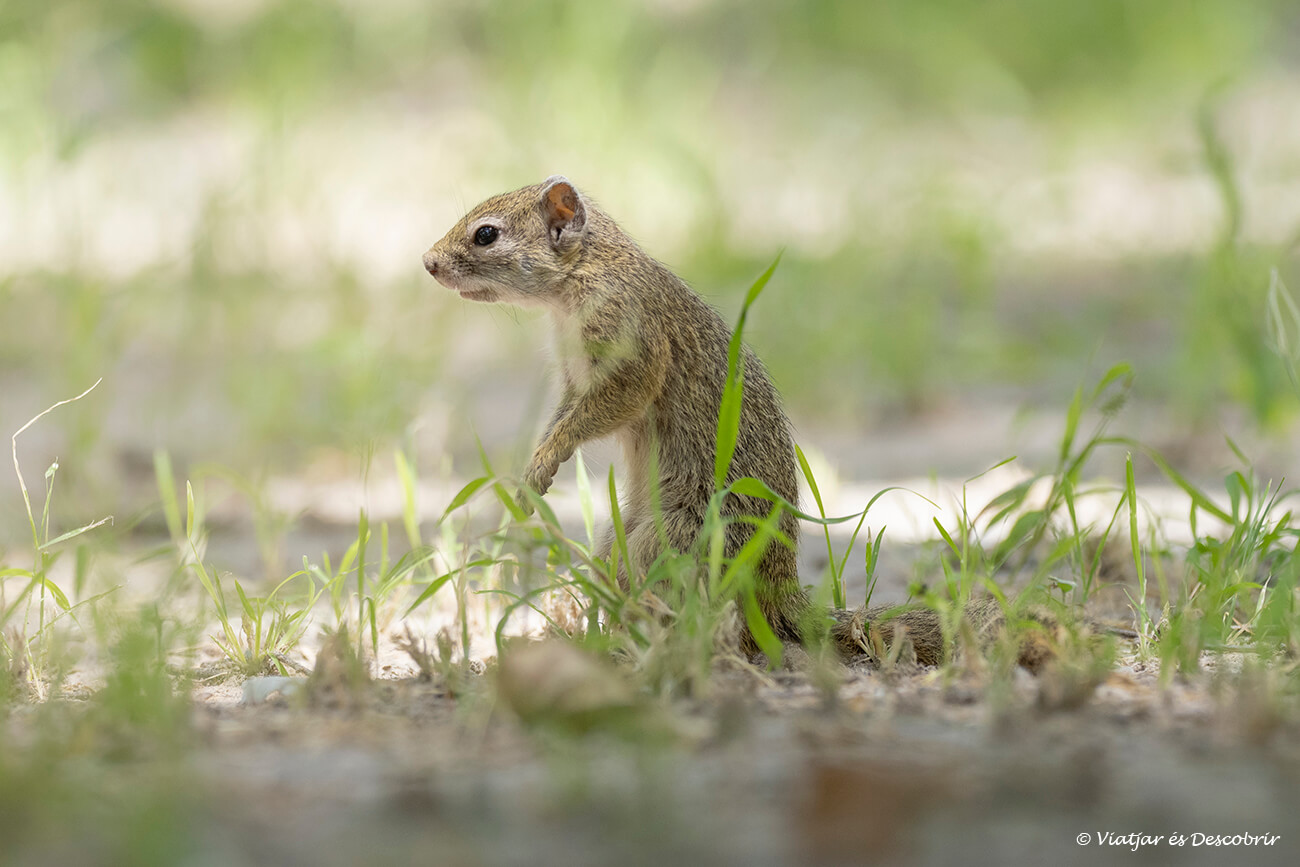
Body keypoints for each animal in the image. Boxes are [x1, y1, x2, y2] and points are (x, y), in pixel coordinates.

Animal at [423, 176, 1045, 668]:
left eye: (486, 234)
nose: (428, 263)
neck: (585, 277)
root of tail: (779, 593)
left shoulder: (632, 350)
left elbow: (606, 408)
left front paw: (549, 458)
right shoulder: (575, 378)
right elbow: (565, 413)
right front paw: (535, 470)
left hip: (671, 539)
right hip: (620, 543)